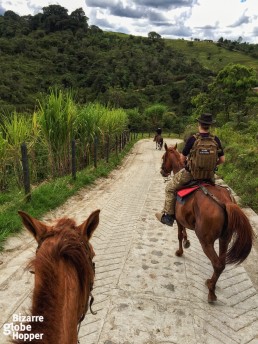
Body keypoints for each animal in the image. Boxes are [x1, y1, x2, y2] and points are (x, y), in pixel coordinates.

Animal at [161, 144, 254, 302]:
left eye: (163, 157)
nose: (162, 171)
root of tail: (226, 202)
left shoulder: (178, 219)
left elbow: (179, 234)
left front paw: (180, 251)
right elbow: (184, 233)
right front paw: (186, 242)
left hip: (206, 241)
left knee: (217, 264)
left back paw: (211, 292)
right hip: (225, 239)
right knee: (221, 264)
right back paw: (211, 282)